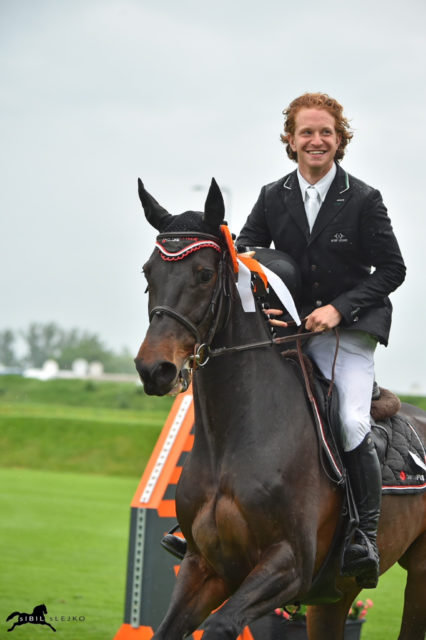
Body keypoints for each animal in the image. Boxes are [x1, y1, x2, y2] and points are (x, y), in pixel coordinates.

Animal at [134, 176, 426, 640]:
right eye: (149, 272)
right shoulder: (204, 567)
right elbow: (167, 629)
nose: (154, 369)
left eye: (204, 274)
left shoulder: (288, 566)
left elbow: (220, 626)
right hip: (335, 595)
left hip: (420, 573)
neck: (236, 438)